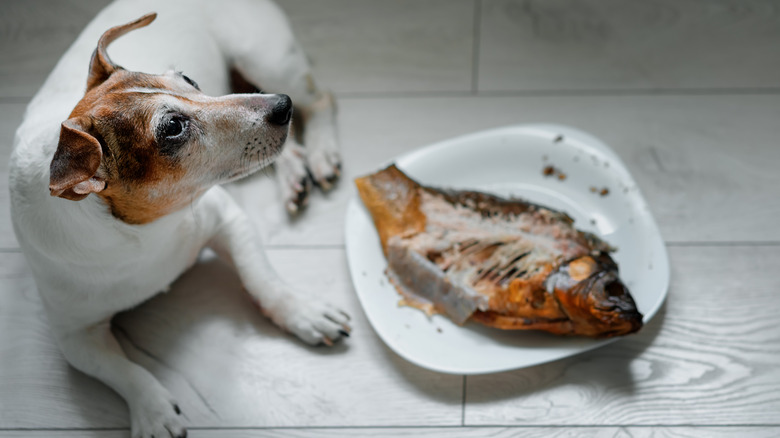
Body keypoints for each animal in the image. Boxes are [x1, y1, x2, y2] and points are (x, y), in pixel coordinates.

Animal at [8, 1, 350, 436]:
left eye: (187, 78)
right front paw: (153, 411)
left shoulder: (226, 217)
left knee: (321, 100)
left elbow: (260, 277)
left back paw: (321, 152)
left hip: (266, 59)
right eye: (173, 127)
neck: (144, 231)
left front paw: (302, 311)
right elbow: (123, 371)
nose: (282, 106)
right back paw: (294, 174)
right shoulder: (74, 335)